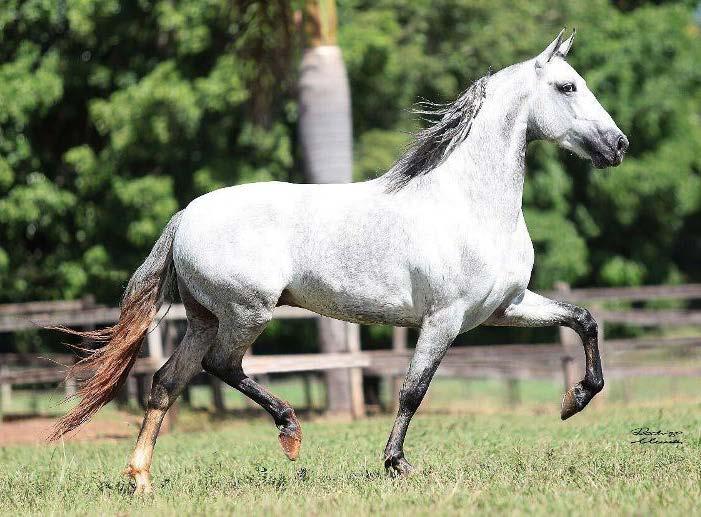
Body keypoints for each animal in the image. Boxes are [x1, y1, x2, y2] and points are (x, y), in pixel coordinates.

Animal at [52, 30, 628, 494]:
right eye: (567, 87)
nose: (618, 146)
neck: (469, 203)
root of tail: (186, 216)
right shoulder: (444, 319)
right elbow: (413, 390)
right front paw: (397, 465)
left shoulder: (504, 308)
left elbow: (584, 320)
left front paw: (574, 400)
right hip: (246, 313)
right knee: (221, 366)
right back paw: (289, 432)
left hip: (204, 318)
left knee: (167, 382)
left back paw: (141, 479)